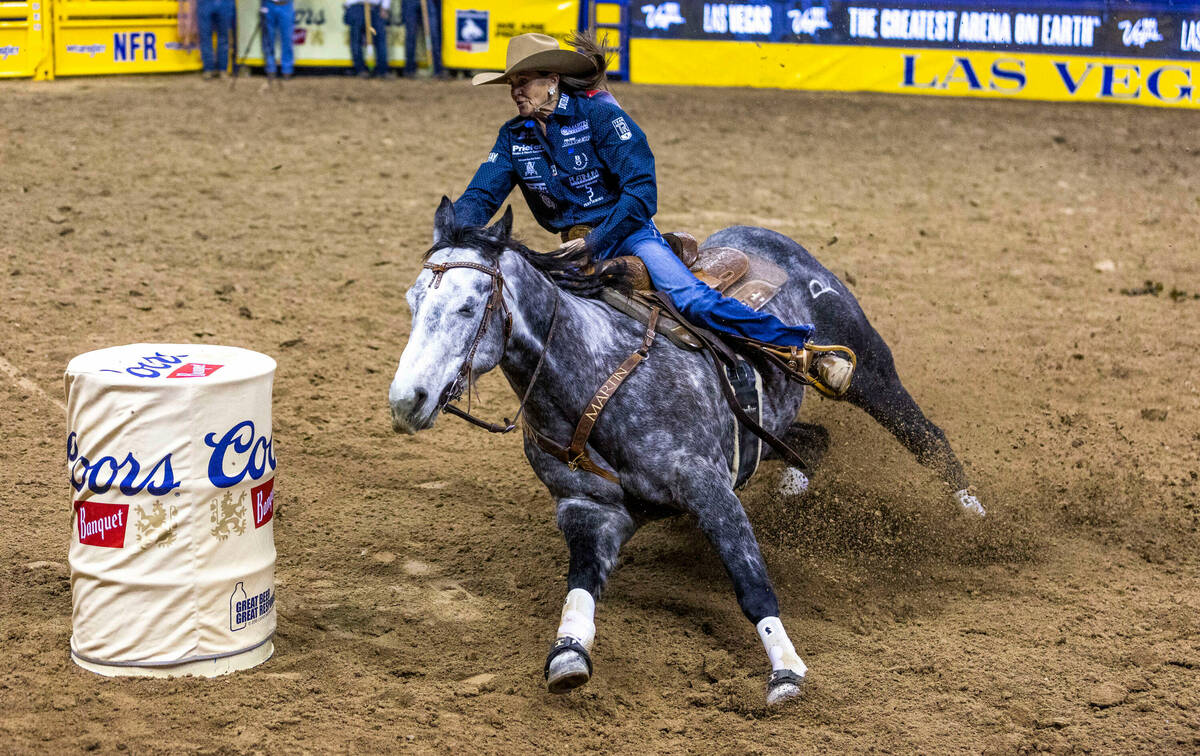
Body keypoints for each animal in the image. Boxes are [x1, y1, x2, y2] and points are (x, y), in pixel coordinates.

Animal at [388, 198, 988, 710]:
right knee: (814, 442)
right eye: (413, 301)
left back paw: (976, 518)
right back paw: (795, 492)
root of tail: (765, 235)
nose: (406, 400)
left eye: (468, 306)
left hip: (871, 374)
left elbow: (751, 584)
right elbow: (579, 586)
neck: (596, 377)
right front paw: (568, 654)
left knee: (927, 437)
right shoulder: (588, 510)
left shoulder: (709, 490)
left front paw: (785, 672)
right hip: (765, 432)